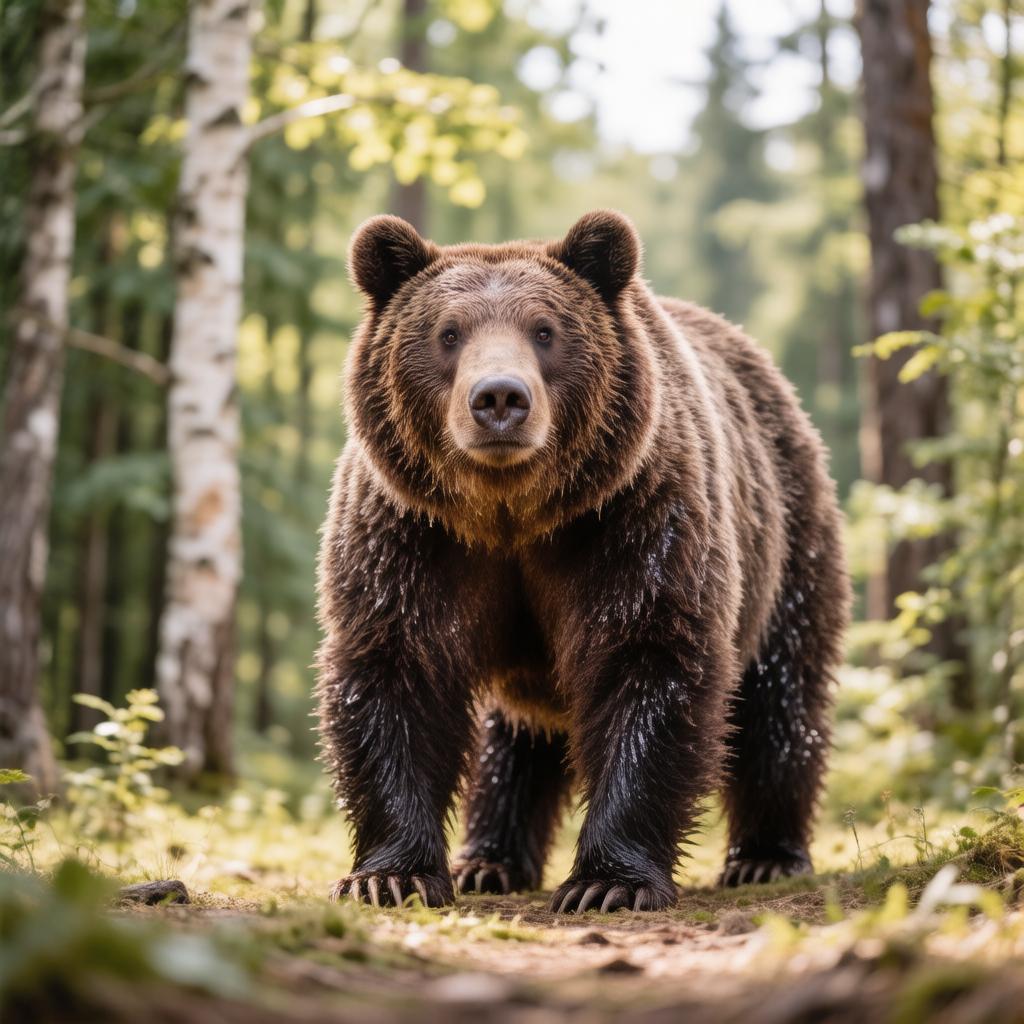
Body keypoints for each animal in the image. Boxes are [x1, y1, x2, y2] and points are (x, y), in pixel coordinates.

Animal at [315, 210, 850, 913]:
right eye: (448, 333)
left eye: (545, 330)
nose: (499, 398)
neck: (511, 515)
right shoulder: (410, 536)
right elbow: (394, 671)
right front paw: (390, 875)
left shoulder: (633, 522)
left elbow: (648, 663)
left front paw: (607, 881)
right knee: (514, 738)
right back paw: (488, 860)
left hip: (788, 537)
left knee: (779, 698)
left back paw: (766, 856)